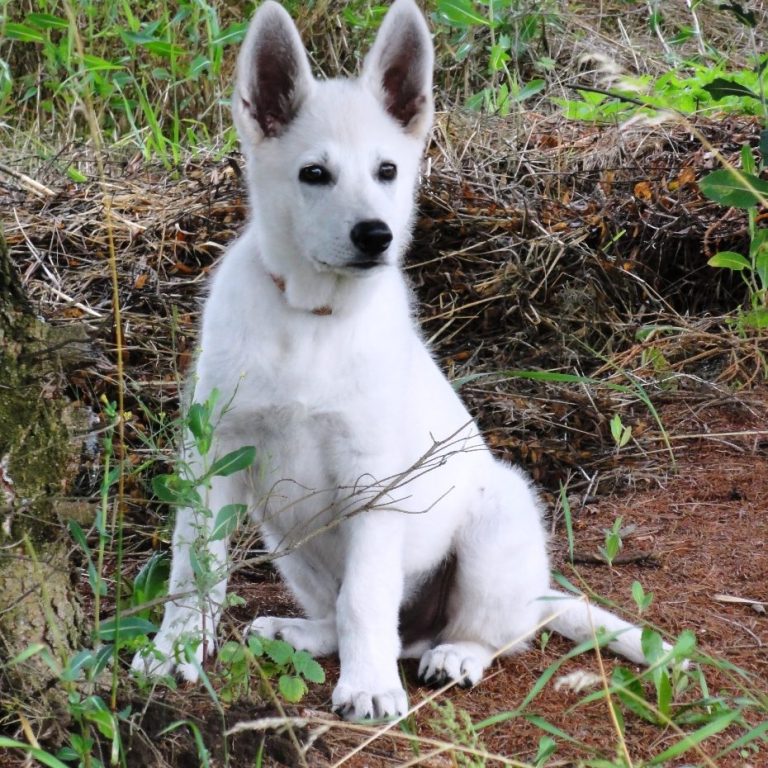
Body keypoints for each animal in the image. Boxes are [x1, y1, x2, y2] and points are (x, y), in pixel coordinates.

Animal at [134, 0, 660, 720]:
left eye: (387, 171)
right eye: (314, 174)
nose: (375, 236)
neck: (314, 317)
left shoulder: (373, 484)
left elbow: (366, 597)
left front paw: (368, 687)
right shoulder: (214, 457)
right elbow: (193, 567)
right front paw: (175, 650)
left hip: (497, 520)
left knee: (487, 634)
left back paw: (453, 655)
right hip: (289, 543)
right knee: (351, 617)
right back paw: (302, 631)